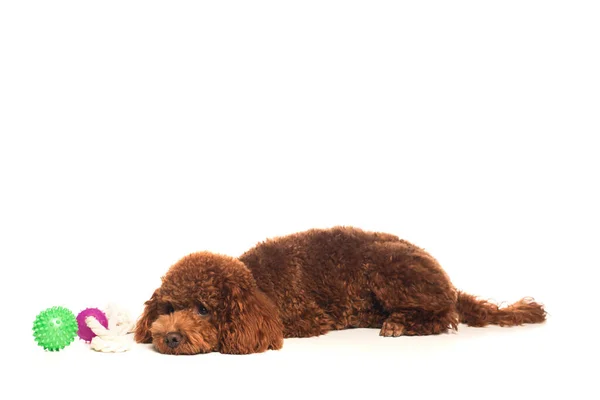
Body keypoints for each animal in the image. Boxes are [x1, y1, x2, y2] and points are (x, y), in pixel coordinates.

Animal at [134, 227, 548, 354]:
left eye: (203, 309)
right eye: (167, 307)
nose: (170, 338)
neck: (257, 285)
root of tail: (447, 281)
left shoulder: (306, 318)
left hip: (387, 268)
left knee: (445, 315)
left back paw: (399, 323)